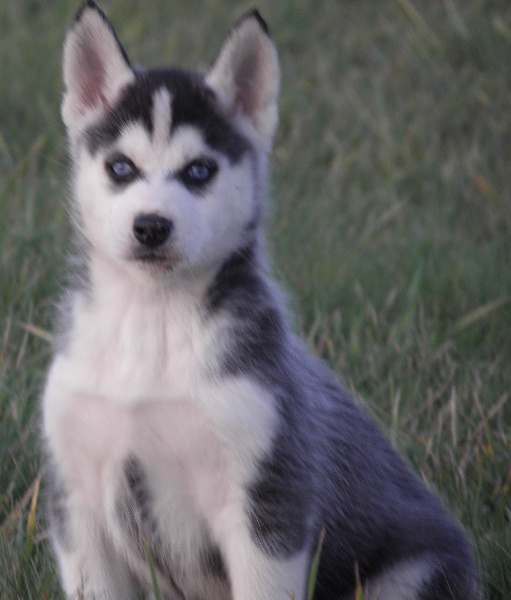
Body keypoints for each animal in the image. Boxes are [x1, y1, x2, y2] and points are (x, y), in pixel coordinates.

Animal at [42, 2, 478, 596]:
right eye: (120, 167)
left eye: (199, 170)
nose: (151, 226)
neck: (154, 325)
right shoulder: (79, 505)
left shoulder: (267, 503)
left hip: (410, 572)